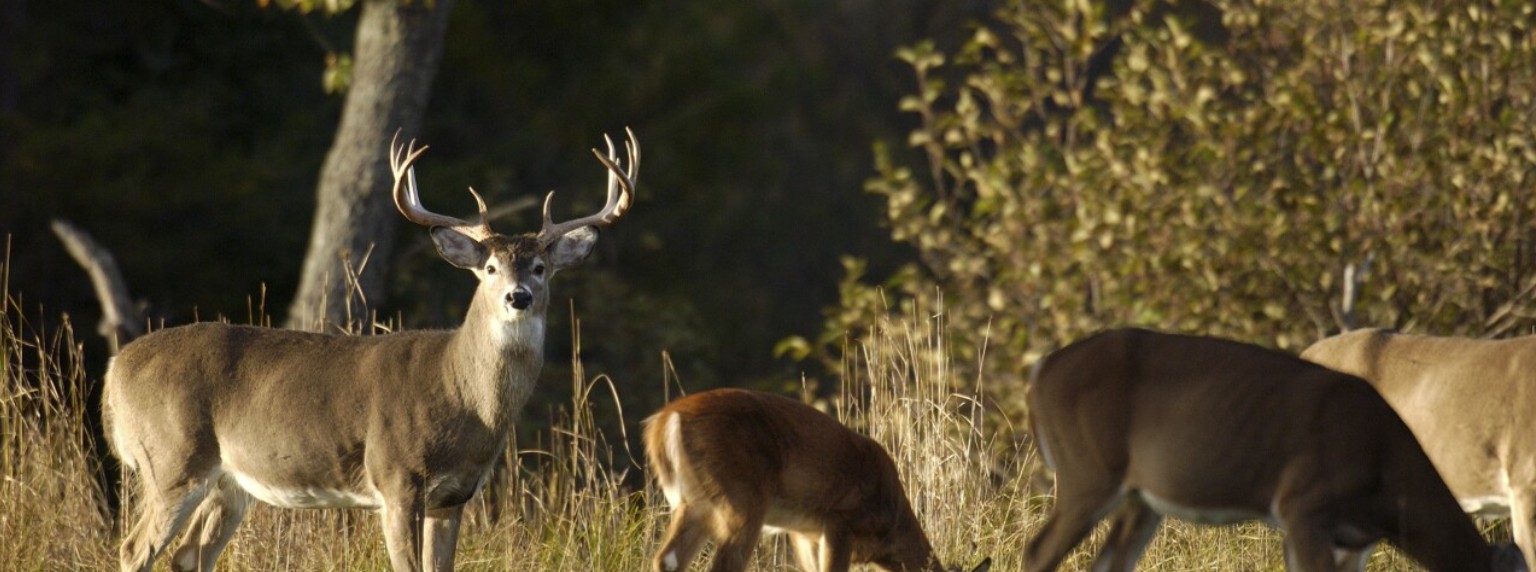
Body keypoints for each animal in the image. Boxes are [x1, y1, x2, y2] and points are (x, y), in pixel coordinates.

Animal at [102, 129, 638, 572]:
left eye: (540, 267)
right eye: (489, 268)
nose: (518, 297)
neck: (462, 393)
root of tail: (114, 368)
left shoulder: (454, 496)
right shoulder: (396, 477)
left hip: (228, 483)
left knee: (187, 557)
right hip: (171, 457)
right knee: (133, 550)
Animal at [642, 388, 992, 572]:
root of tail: (665, 420)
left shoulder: (804, 532)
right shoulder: (840, 519)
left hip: (694, 502)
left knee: (667, 559)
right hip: (742, 498)